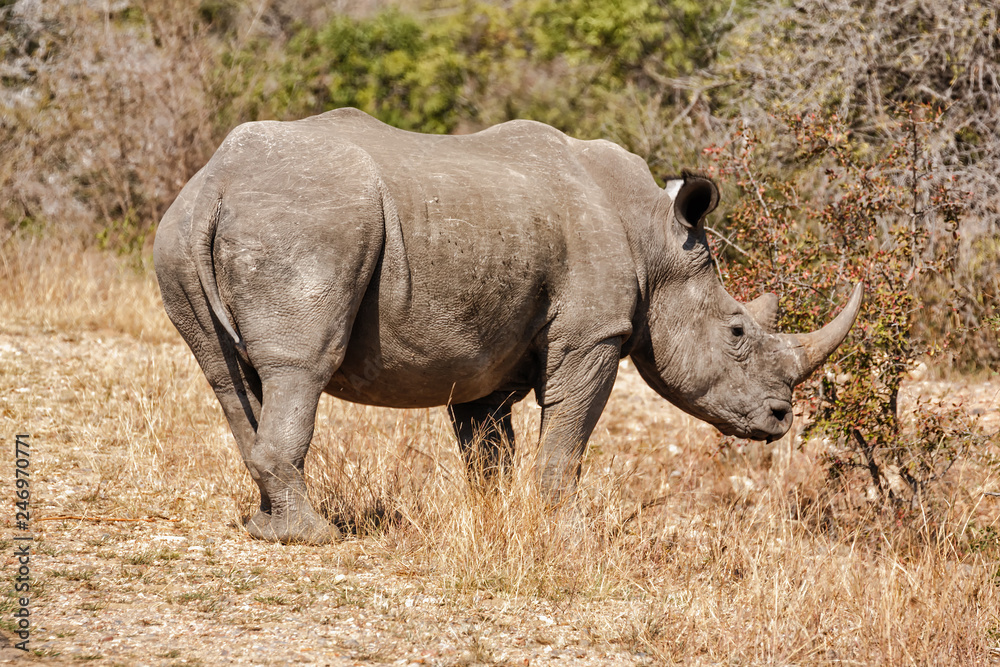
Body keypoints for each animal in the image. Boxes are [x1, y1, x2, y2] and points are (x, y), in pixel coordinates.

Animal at [152, 109, 864, 544]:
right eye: (738, 332)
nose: (779, 419)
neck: (658, 240)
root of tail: (216, 184)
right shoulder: (594, 333)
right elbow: (569, 433)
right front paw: (566, 532)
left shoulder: (481, 341)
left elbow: (488, 444)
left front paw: (490, 518)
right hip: (308, 222)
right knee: (300, 366)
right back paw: (316, 536)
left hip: (183, 233)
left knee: (227, 376)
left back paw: (266, 528)